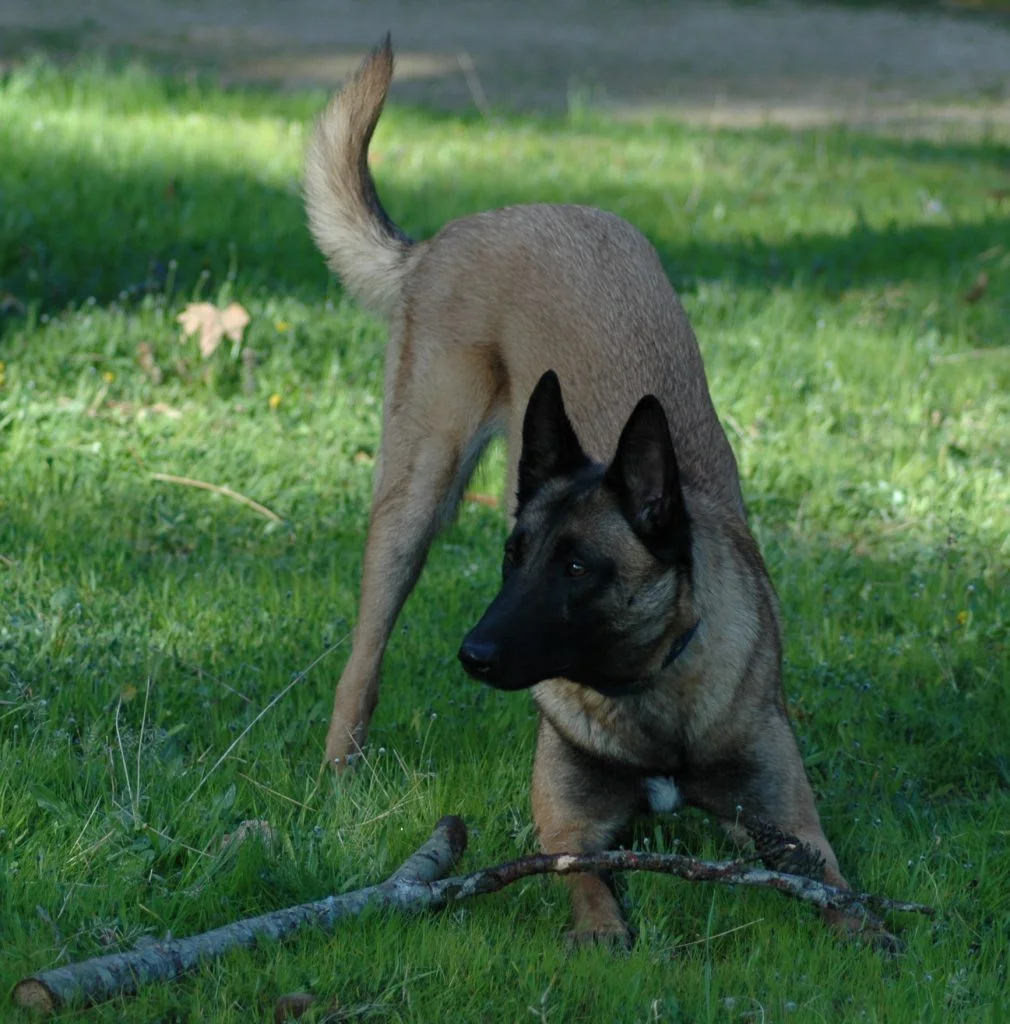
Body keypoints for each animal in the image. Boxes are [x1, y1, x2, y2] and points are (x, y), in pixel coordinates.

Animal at [303, 39, 885, 950]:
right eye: (513, 558)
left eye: (578, 568)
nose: (475, 654)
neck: (647, 695)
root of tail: (462, 230)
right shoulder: (568, 829)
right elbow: (596, 902)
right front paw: (608, 934)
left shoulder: (794, 828)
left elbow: (841, 895)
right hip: (415, 495)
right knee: (362, 661)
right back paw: (341, 778)